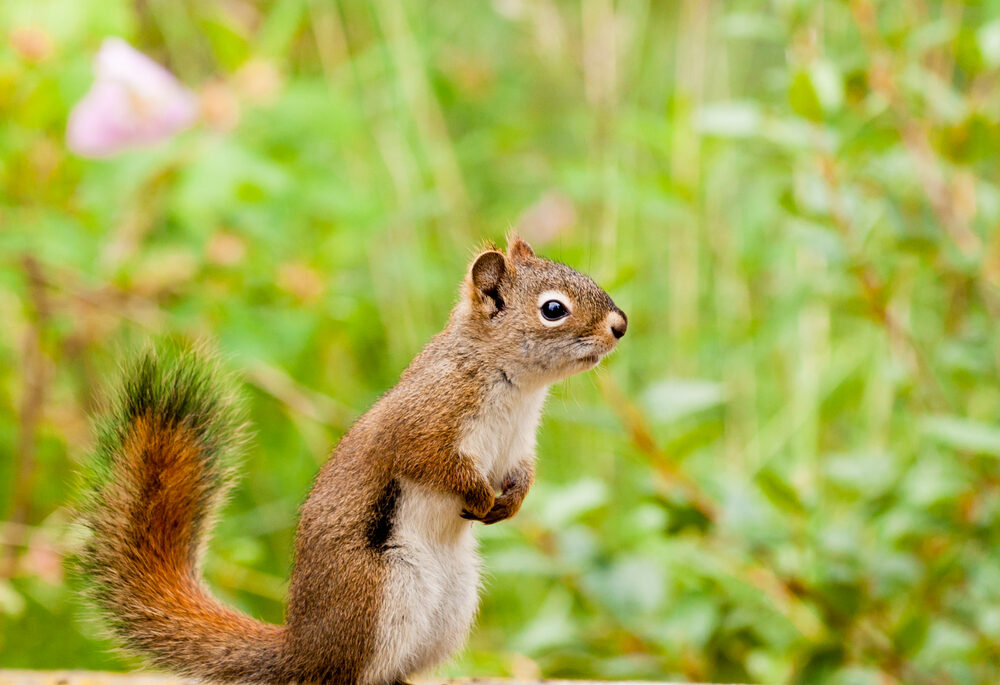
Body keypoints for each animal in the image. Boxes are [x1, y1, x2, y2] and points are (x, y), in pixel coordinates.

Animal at [77, 234, 627, 685]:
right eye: (553, 309)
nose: (620, 326)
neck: (516, 388)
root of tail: (301, 653)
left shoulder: (518, 446)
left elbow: (524, 475)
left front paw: (509, 503)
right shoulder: (425, 423)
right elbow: (434, 464)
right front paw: (476, 494)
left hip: (452, 604)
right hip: (379, 595)